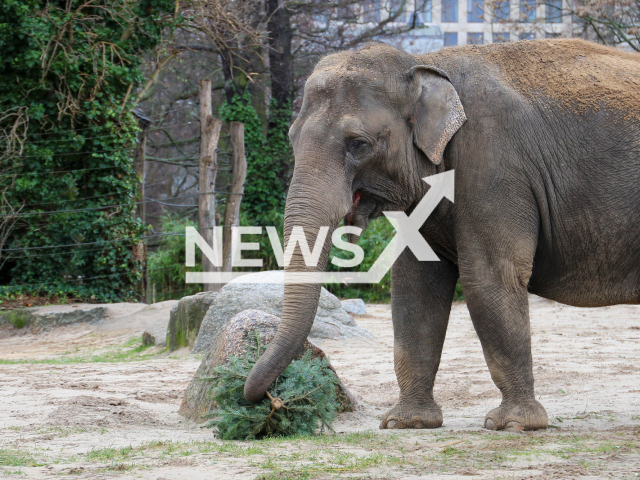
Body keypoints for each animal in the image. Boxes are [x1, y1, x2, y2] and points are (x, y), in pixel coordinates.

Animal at [242, 38, 640, 432]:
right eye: (291, 138)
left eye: (358, 144)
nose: (268, 399)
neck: (422, 62)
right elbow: (415, 283)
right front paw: (407, 423)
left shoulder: (494, 165)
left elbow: (490, 277)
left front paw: (512, 424)